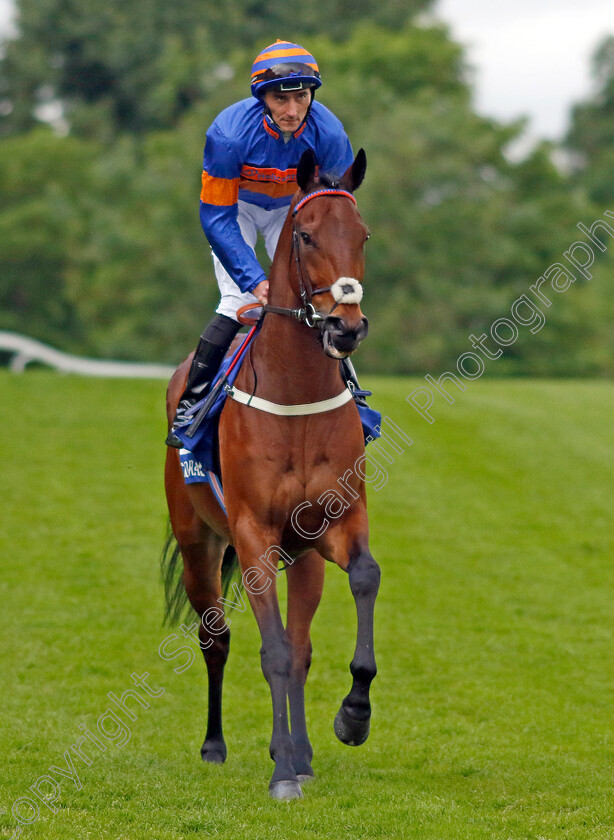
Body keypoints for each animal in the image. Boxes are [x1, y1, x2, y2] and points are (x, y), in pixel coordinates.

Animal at [166, 149, 382, 800]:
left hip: (302, 555)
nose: (346, 327)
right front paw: (282, 771)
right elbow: (273, 653)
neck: (295, 395)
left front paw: (352, 717)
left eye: (362, 235)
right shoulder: (252, 534)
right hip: (199, 543)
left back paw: (304, 751)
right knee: (217, 640)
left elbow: (363, 579)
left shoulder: (335, 522)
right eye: (306, 235)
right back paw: (216, 746)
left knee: (303, 644)